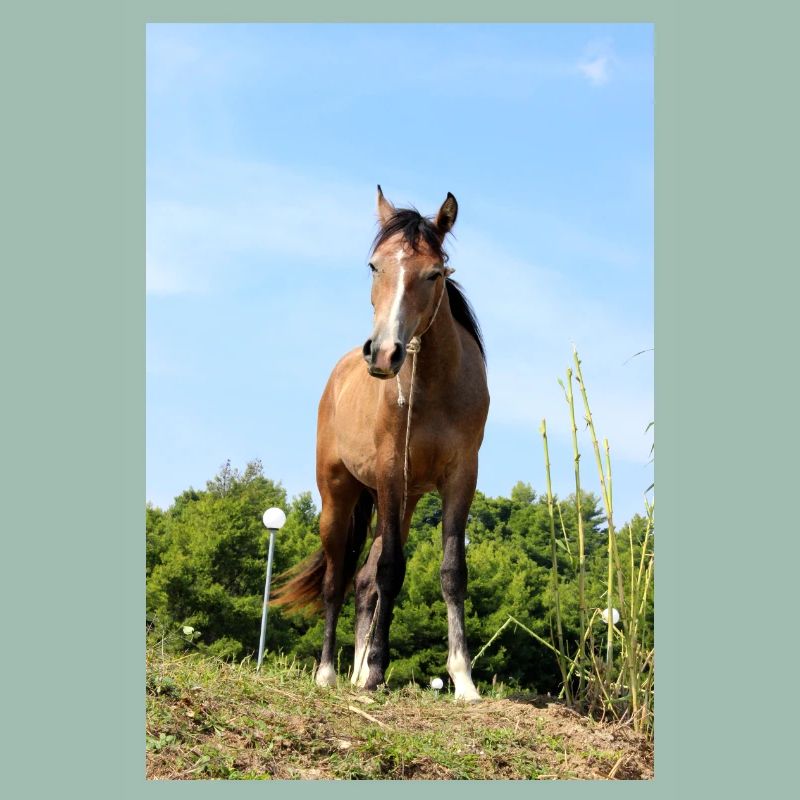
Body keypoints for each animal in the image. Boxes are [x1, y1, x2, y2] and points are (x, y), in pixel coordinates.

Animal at [272, 187, 489, 701]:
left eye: (434, 273)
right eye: (374, 266)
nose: (384, 353)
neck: (433, 386)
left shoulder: (461, 477)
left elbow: (451, 572)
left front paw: (463, 679)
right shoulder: (391, 473)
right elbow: (391, 571)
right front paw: (374, 673)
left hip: (403, 501)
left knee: (363, 580)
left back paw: (353, 670)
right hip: (340, 496)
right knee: (337, 581)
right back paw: (330, 673)